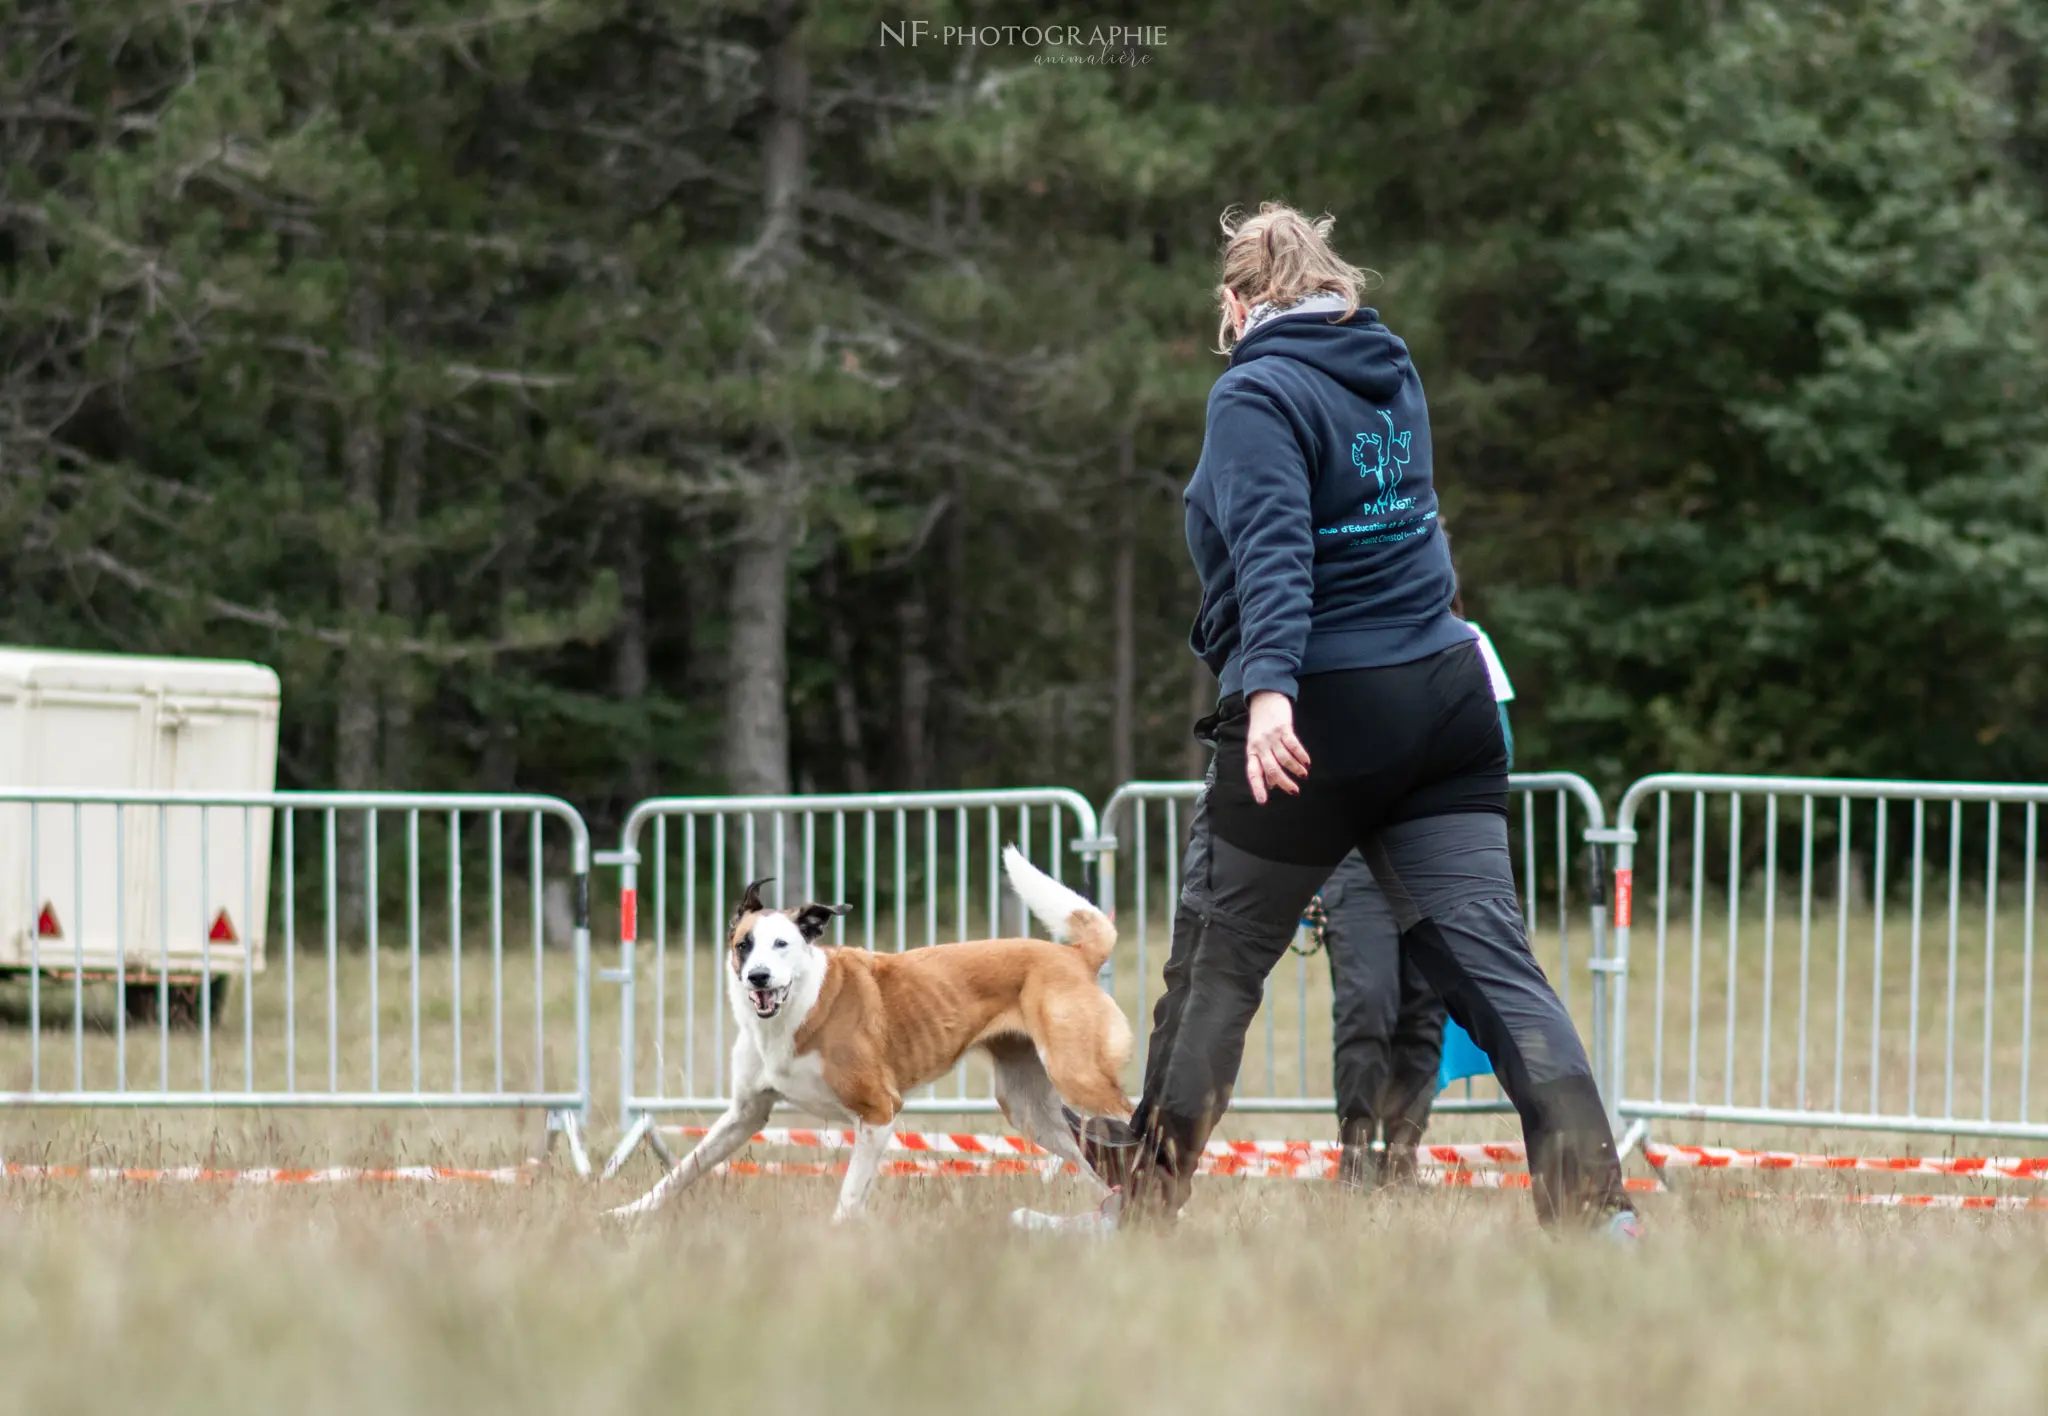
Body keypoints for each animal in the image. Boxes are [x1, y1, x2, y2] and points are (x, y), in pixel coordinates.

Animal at [606, 848, 1138, 1221]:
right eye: (744, 945)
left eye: (782, 944)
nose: (757, 977)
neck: (796, 1010)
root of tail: (1074, 955)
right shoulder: (743, 1116)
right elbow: (685, 1168)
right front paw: (627, 1212)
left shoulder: (879, 1113)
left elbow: (848, 1194)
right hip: (1030, 1110)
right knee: (1093, 1165)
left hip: (1078, 1077)